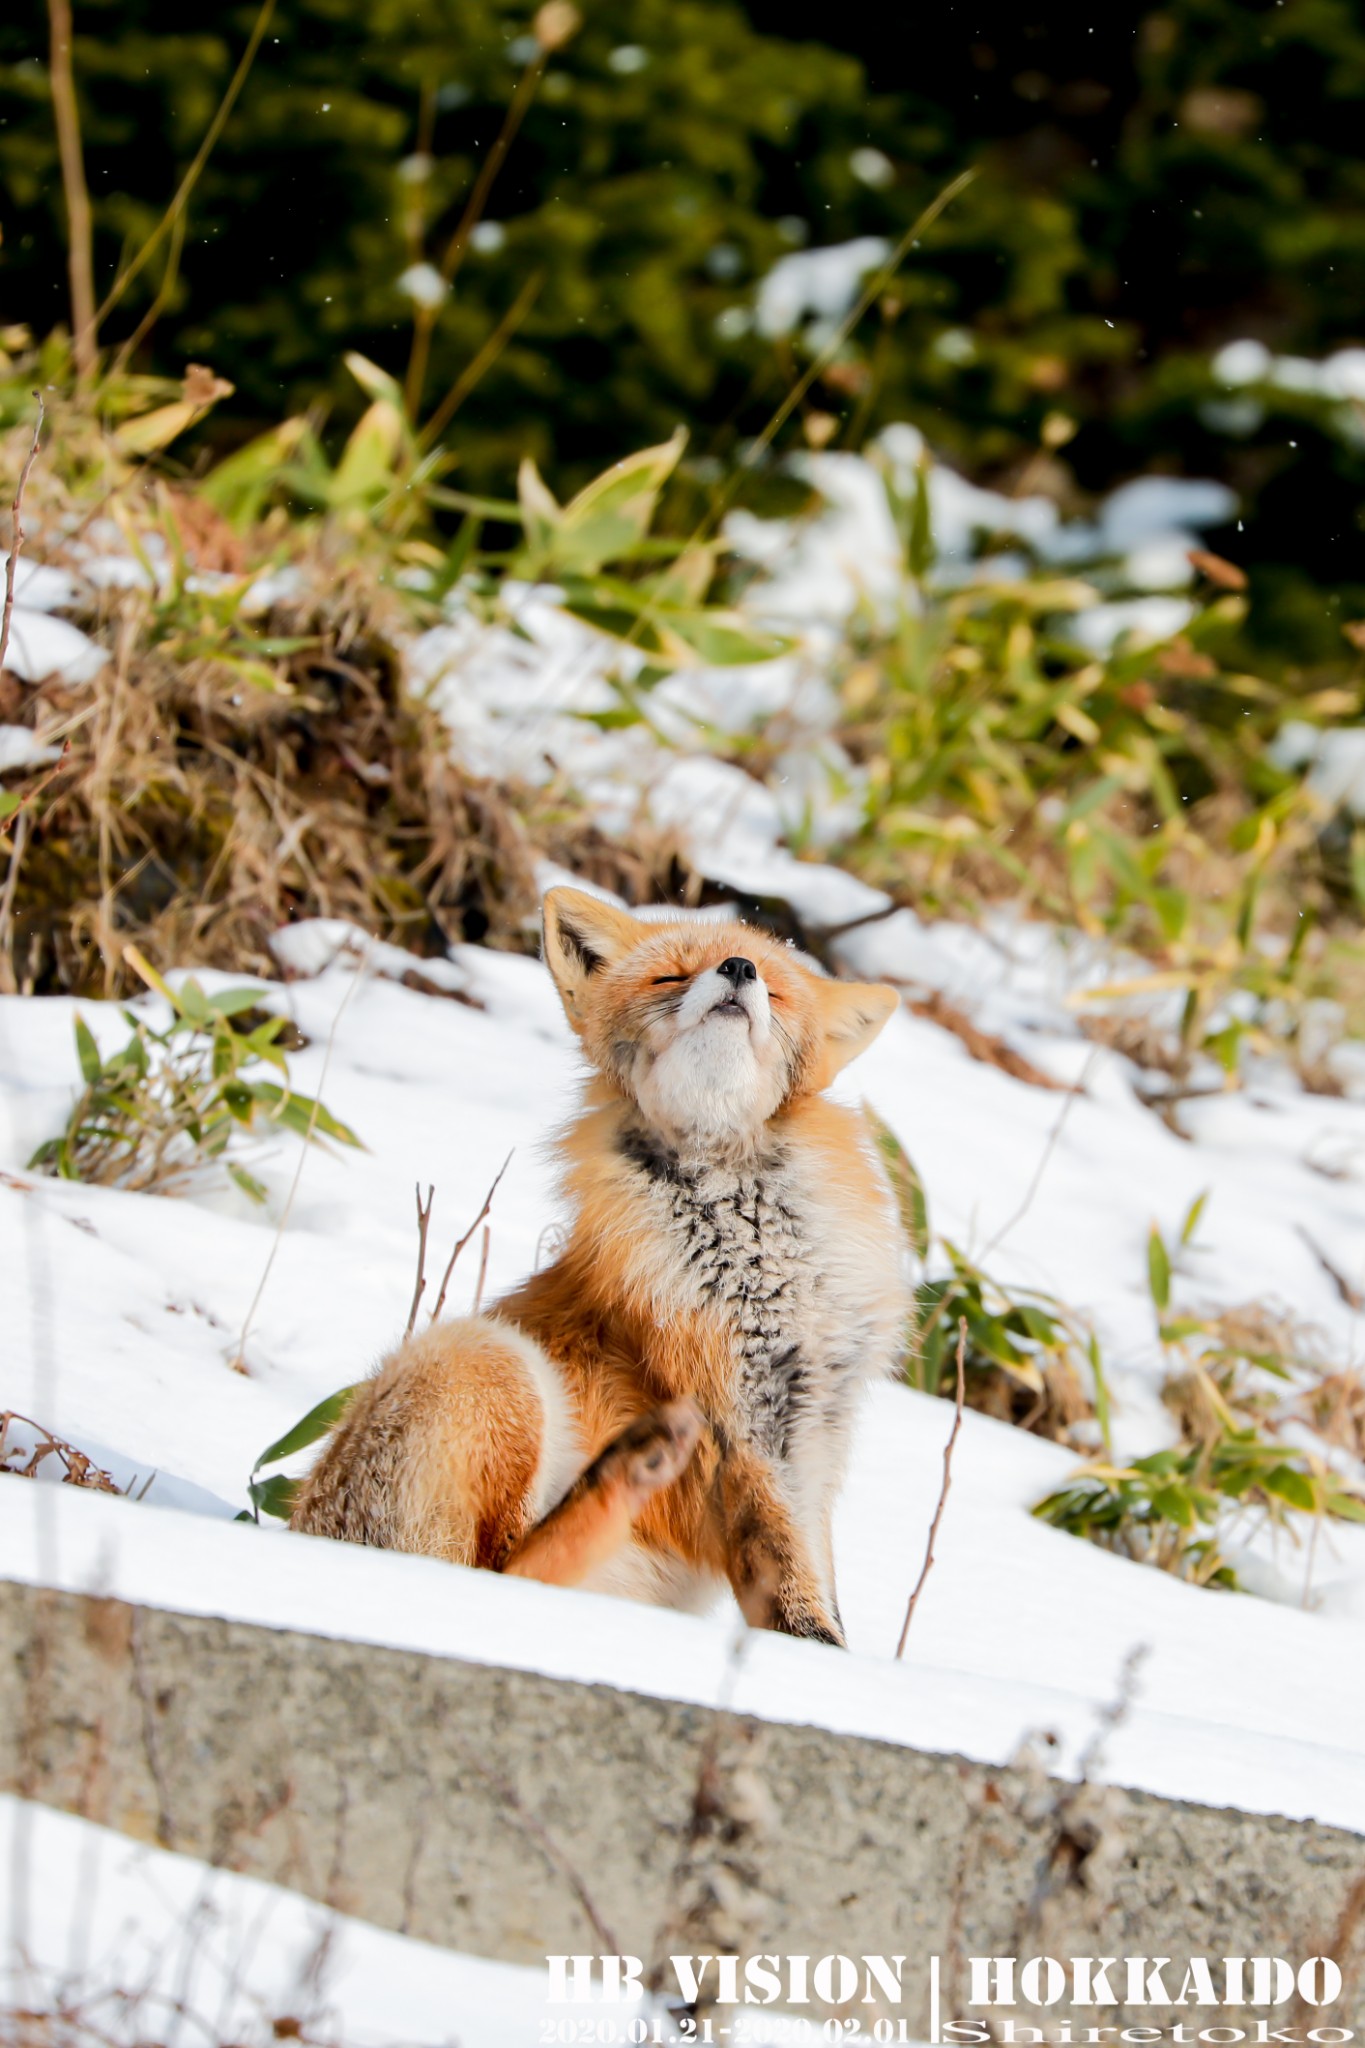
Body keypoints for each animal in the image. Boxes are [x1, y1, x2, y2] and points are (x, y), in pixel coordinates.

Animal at [290, 888, 908, 1638]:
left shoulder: (814, 1435)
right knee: (501, 1575)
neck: (760, 1256)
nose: (737, 969)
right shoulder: (738, 1430)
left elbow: (816, 1592)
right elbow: (796, 1599)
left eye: (777, 987)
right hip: (489, 1361)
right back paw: (627, 1470)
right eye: (670, 976)